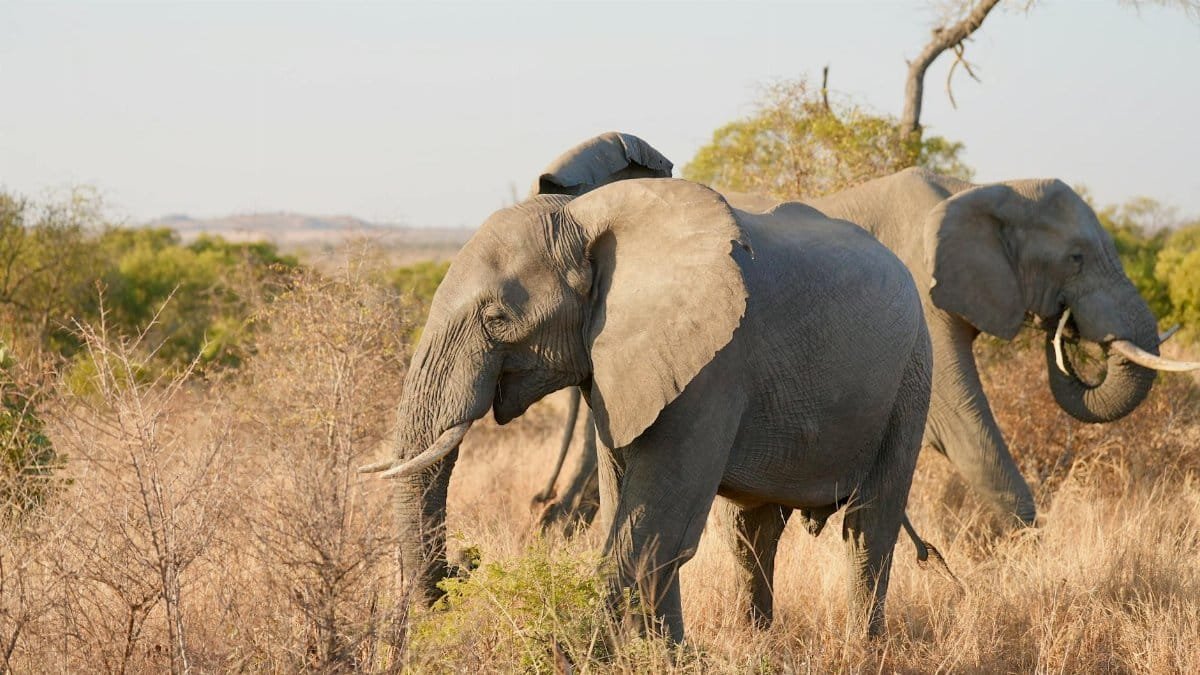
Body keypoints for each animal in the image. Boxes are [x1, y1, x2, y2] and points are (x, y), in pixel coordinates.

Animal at [363, 178, 933, 641]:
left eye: (496, 318)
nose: (466, 563)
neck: (584, 219)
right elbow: (633, 511)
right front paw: (668, 654)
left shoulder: (714, 366)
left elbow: (655, 529)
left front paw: (589, 653)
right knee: (752, 534)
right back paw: (760, 640)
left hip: (912, 373)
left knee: (868, 528)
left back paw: (863, 648)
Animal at [537, 165, 1200, 533]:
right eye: (1076, 258)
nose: (1065, 329)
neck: (978, 190)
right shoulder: (921, 295)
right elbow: (962, 425)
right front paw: (1030, 556)